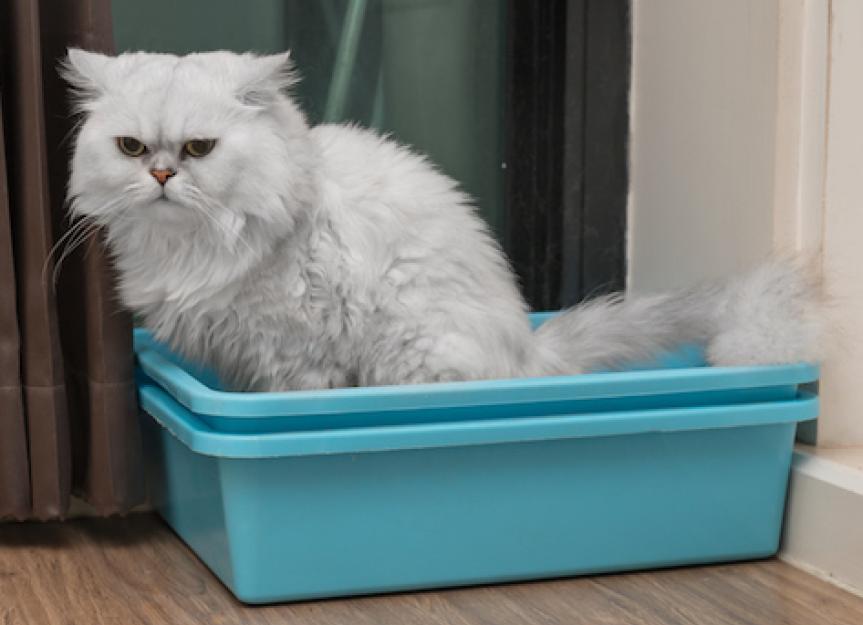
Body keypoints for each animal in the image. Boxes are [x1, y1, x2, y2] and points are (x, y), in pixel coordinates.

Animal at [62, 50, 824, 390]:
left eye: (199, 149)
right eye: (132, 148)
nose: (162, 177)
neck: (195, 247)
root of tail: (527, 354)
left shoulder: (296, 359)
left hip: (414, 357)